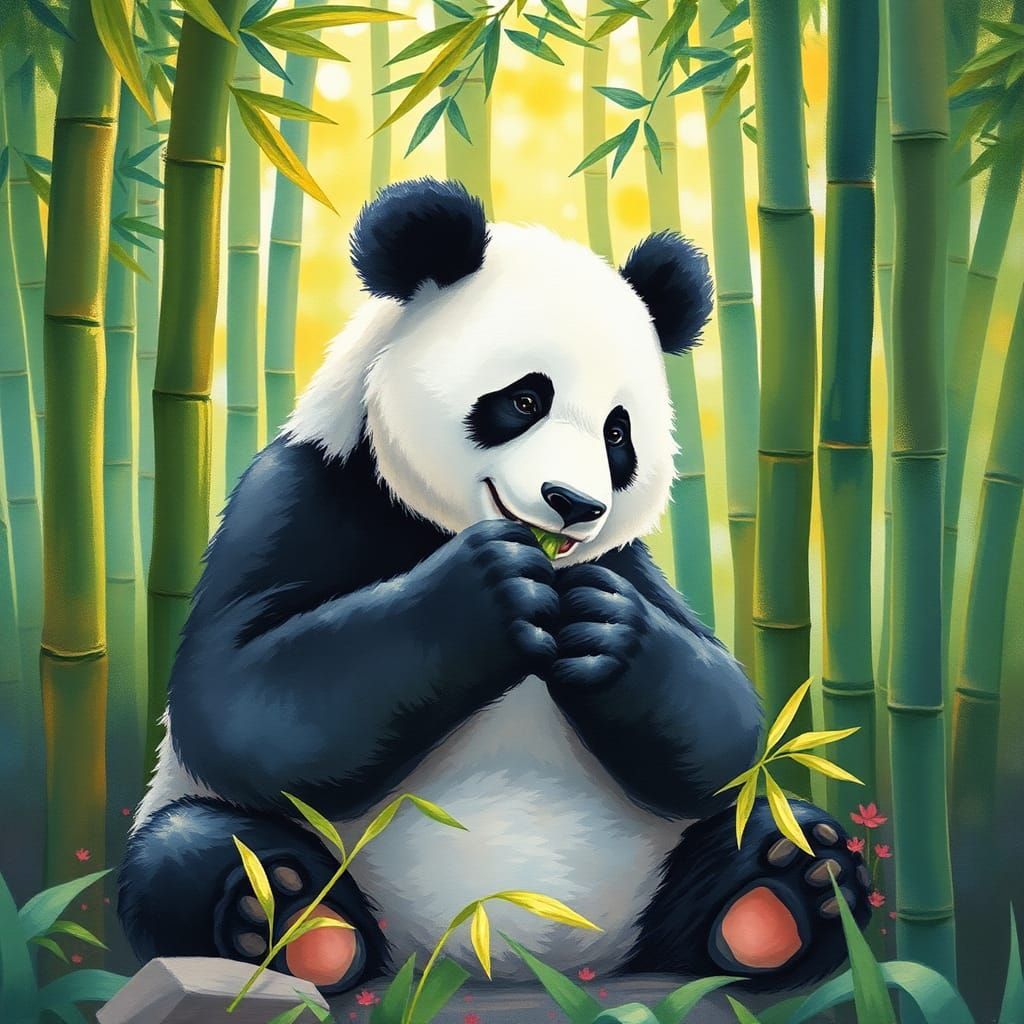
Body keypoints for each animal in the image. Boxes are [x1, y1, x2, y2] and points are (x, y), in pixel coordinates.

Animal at [120, 179, 870, 995]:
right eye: (524, 400)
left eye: (617, 434)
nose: (574, 504)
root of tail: (491, 958)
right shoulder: (301, 496)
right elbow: (238, 705)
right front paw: (485, 599)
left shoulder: (627, 560)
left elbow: (724, 730)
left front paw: (608, 632)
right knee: (192, 848)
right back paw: (294, 924)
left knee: (764, 828)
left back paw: (783, 897)